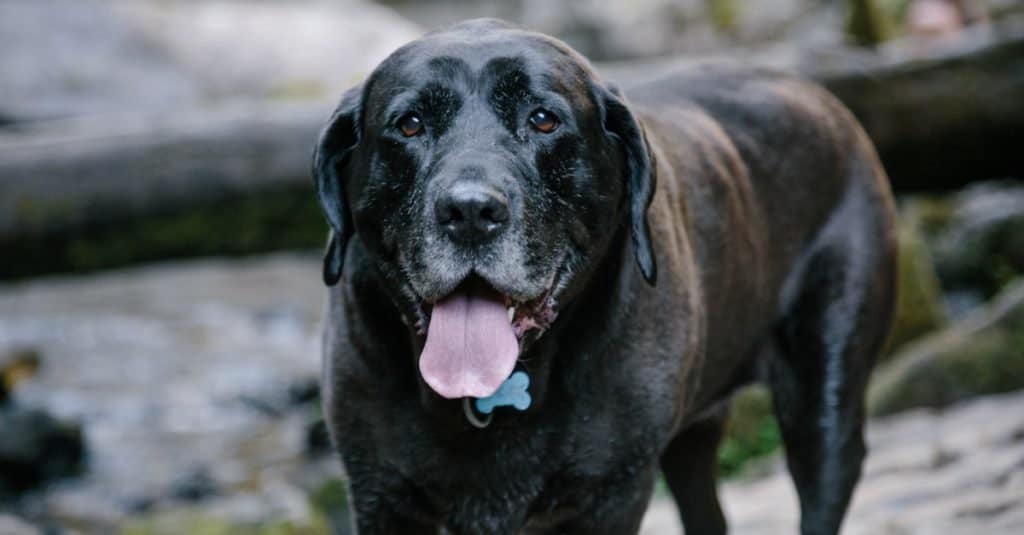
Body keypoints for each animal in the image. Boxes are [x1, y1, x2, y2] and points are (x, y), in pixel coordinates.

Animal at [313, 18, 897, 528]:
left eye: (543, 119)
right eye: (410, 124)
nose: (471, 212)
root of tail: (816, 92)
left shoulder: (611, 491)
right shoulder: (381, 494)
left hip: (825, 401)